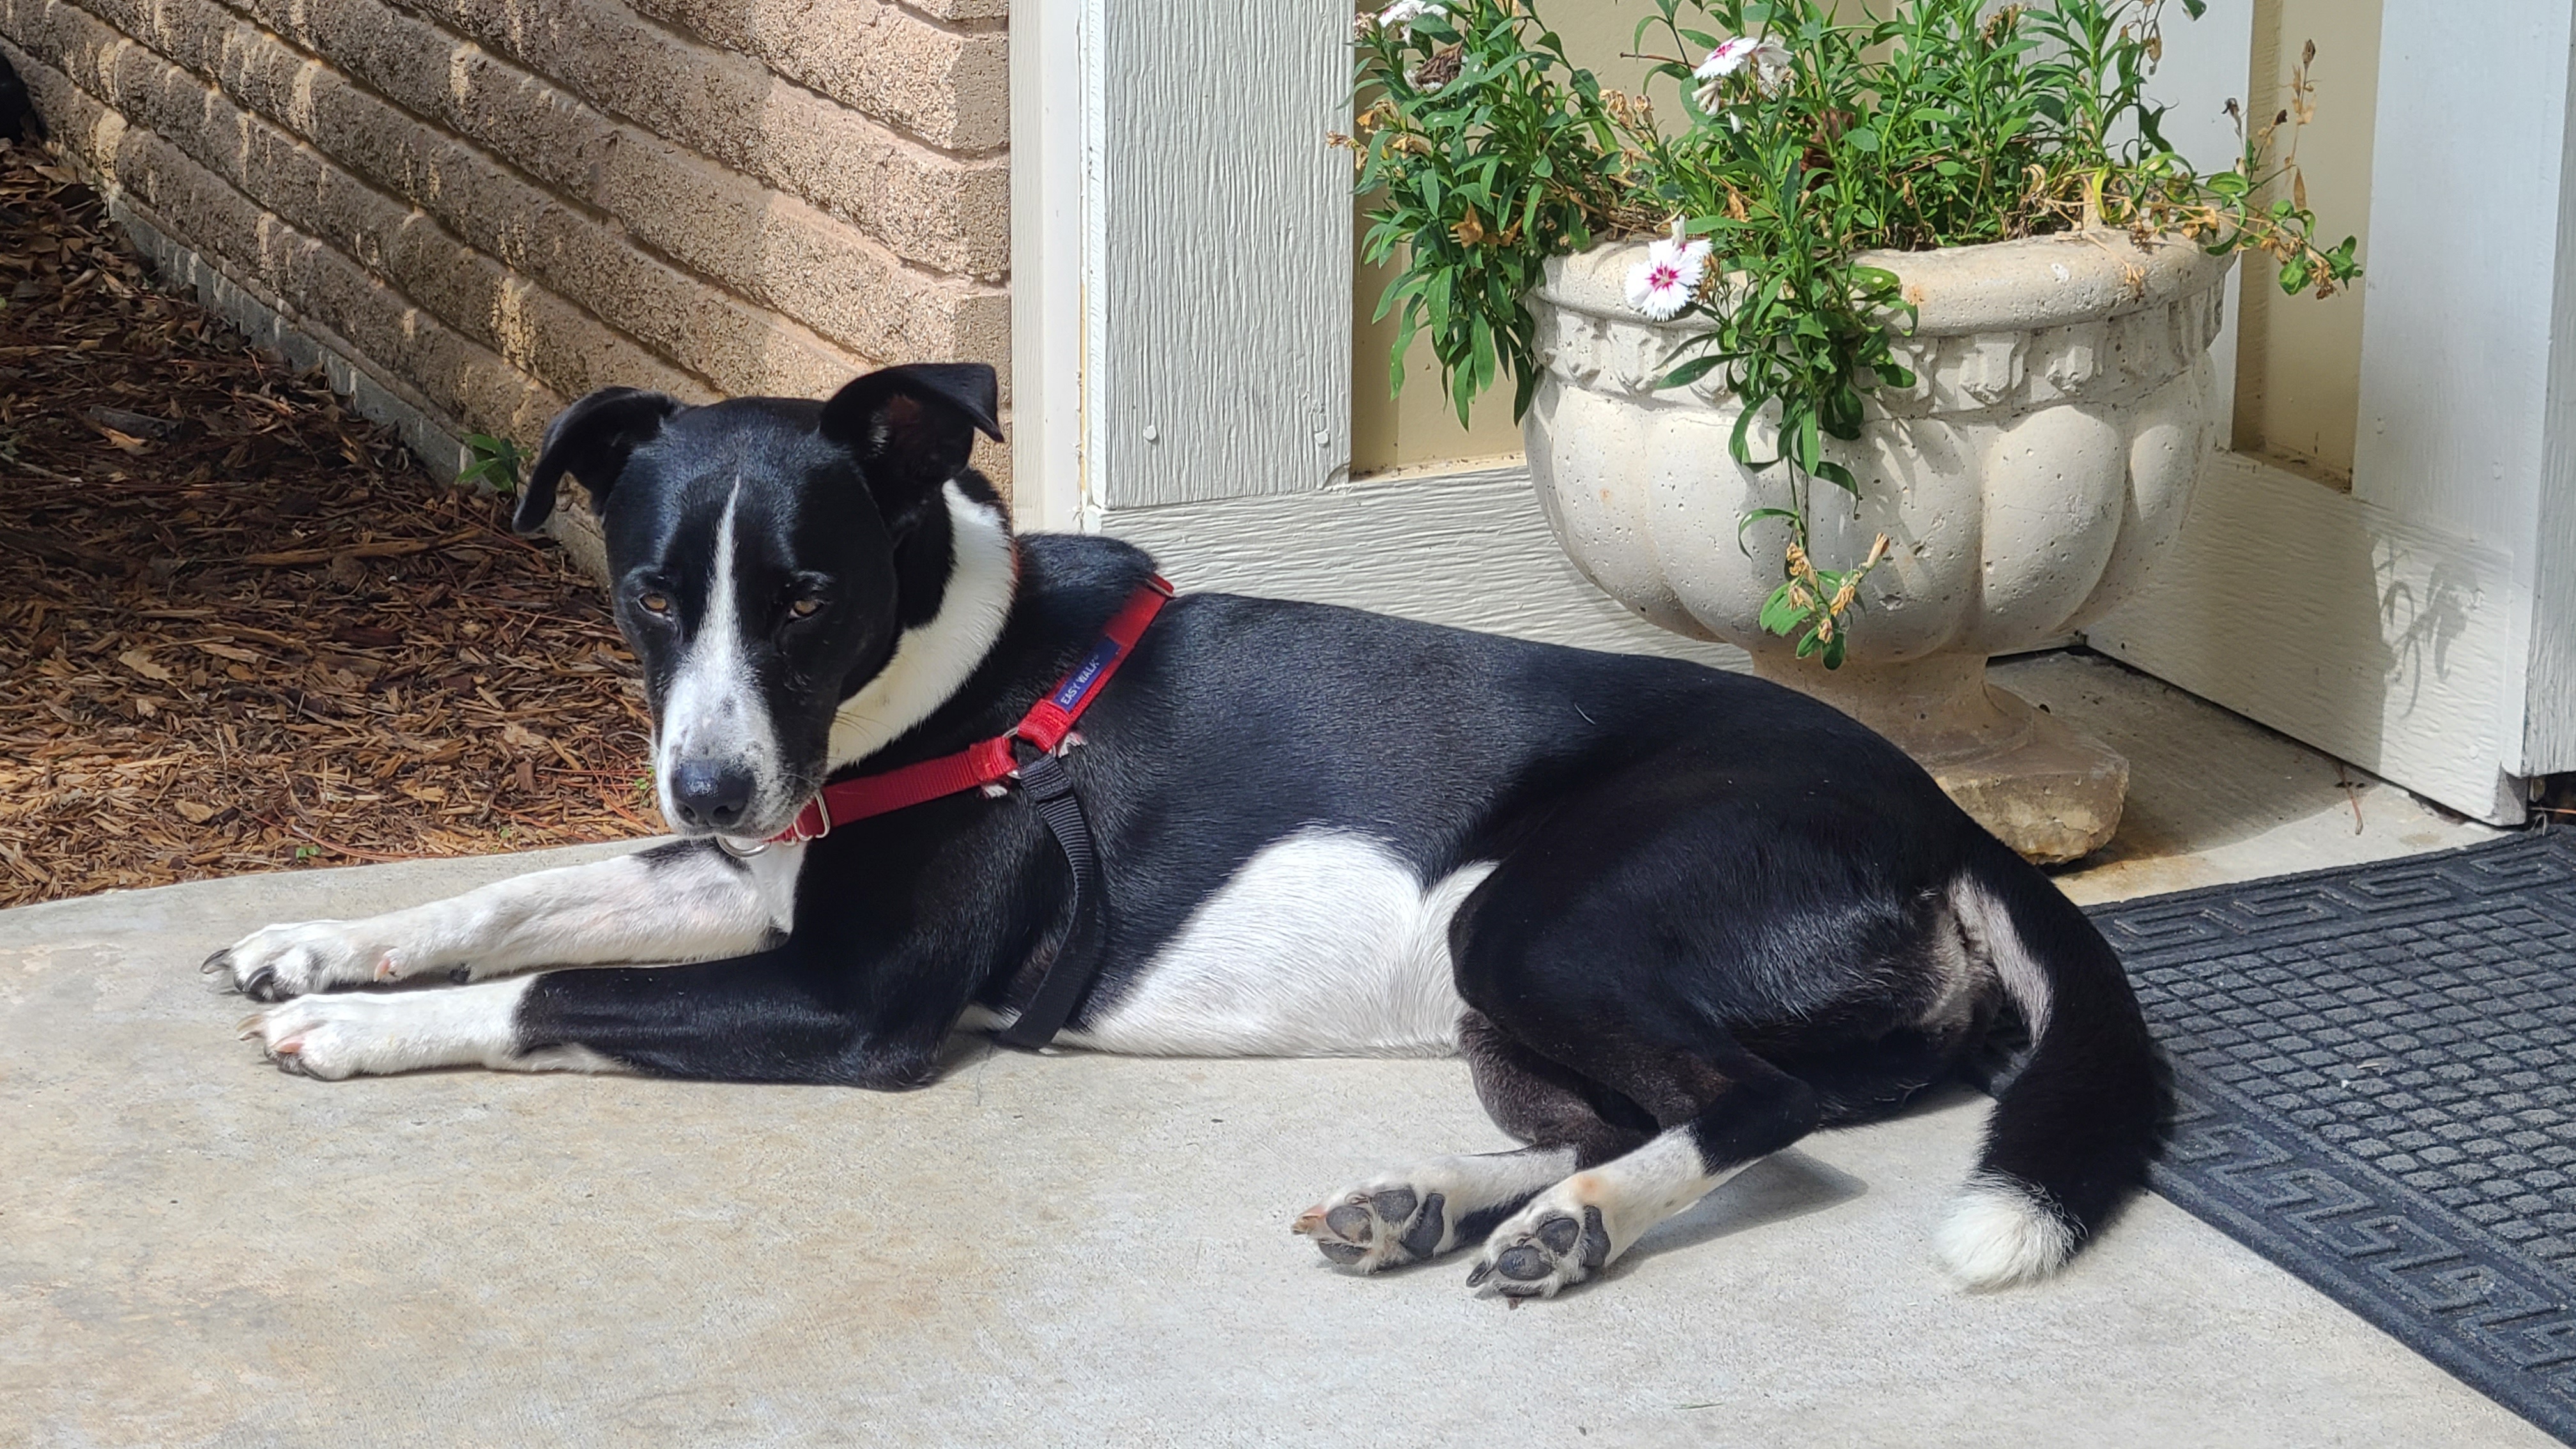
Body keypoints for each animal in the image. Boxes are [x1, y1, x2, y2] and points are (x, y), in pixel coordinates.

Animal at [211, 366, 2163, 1289]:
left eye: (808, 595)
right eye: (645, 596)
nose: (709, 786)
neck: (954, 674)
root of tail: (1941, 822)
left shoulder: (853, 1002)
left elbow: (550, 994)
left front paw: (353, 1030)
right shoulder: (752, 884)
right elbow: (519, 898)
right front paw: (315, 944)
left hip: (1532, 920)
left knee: (1765, 1111)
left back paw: (1570, 1232)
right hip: (1508, 1003)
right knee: (1666, 1105)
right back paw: (1435, 1199)